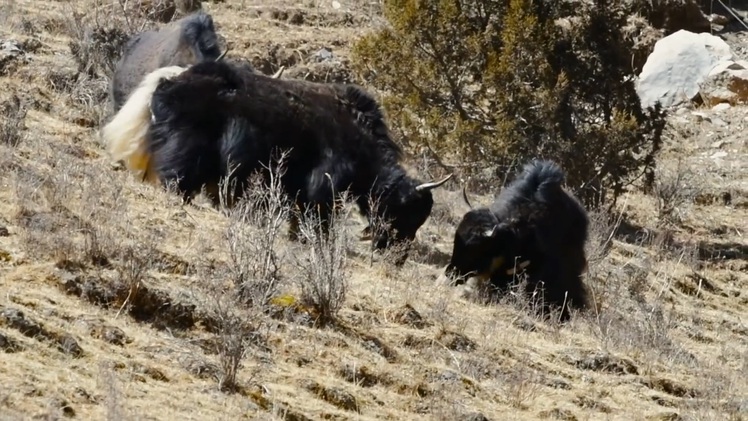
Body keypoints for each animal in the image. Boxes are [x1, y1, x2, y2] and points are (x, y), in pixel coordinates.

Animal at [99, 60, 450, 260]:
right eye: (407, 212)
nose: (396, 256)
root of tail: (170, 80)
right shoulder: (324, 184)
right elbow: (317, 216)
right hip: (187, 146)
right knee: (177, 176)